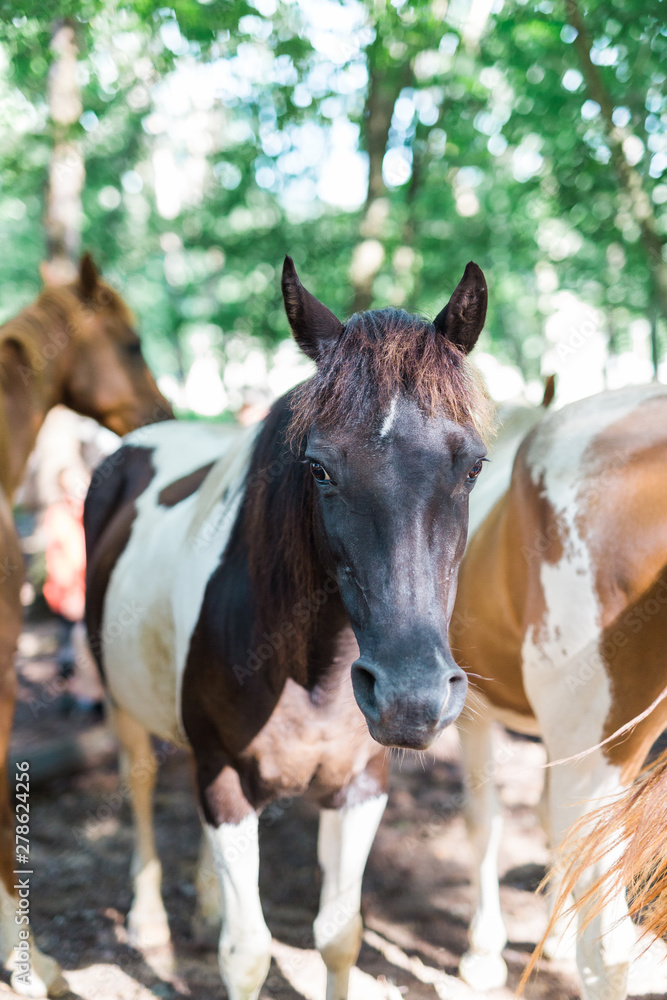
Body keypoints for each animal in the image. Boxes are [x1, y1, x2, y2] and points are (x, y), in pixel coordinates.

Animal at [84, 255, 492, 1000]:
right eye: (319, 467)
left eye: (472, 466)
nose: (410, 698)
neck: (312, 670)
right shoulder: (225, 780)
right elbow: (247, 952)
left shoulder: (361, 786)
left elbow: (338, 936)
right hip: (120, 697)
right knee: (141, 780)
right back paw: (151, 920)